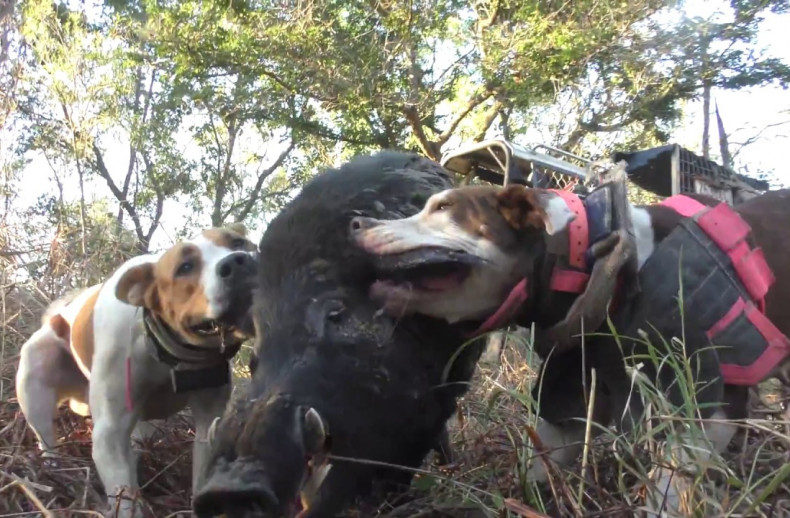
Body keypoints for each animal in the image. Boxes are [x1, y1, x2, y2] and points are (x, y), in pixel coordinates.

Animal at [15, 225, 258, 516]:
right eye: (185, 267)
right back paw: (54, 470)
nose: (237, 261)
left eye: (239, 242)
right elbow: (123, 496)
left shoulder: (209, 420)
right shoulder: (109, 434)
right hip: (35, 381)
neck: (165, 351)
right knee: (46, 438)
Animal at [352, 185, 790, 516]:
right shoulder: (565, 393)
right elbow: (538, 463)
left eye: (443, 208)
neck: (601, 264)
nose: (357, 222)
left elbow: (669, 485)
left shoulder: (703, 400)